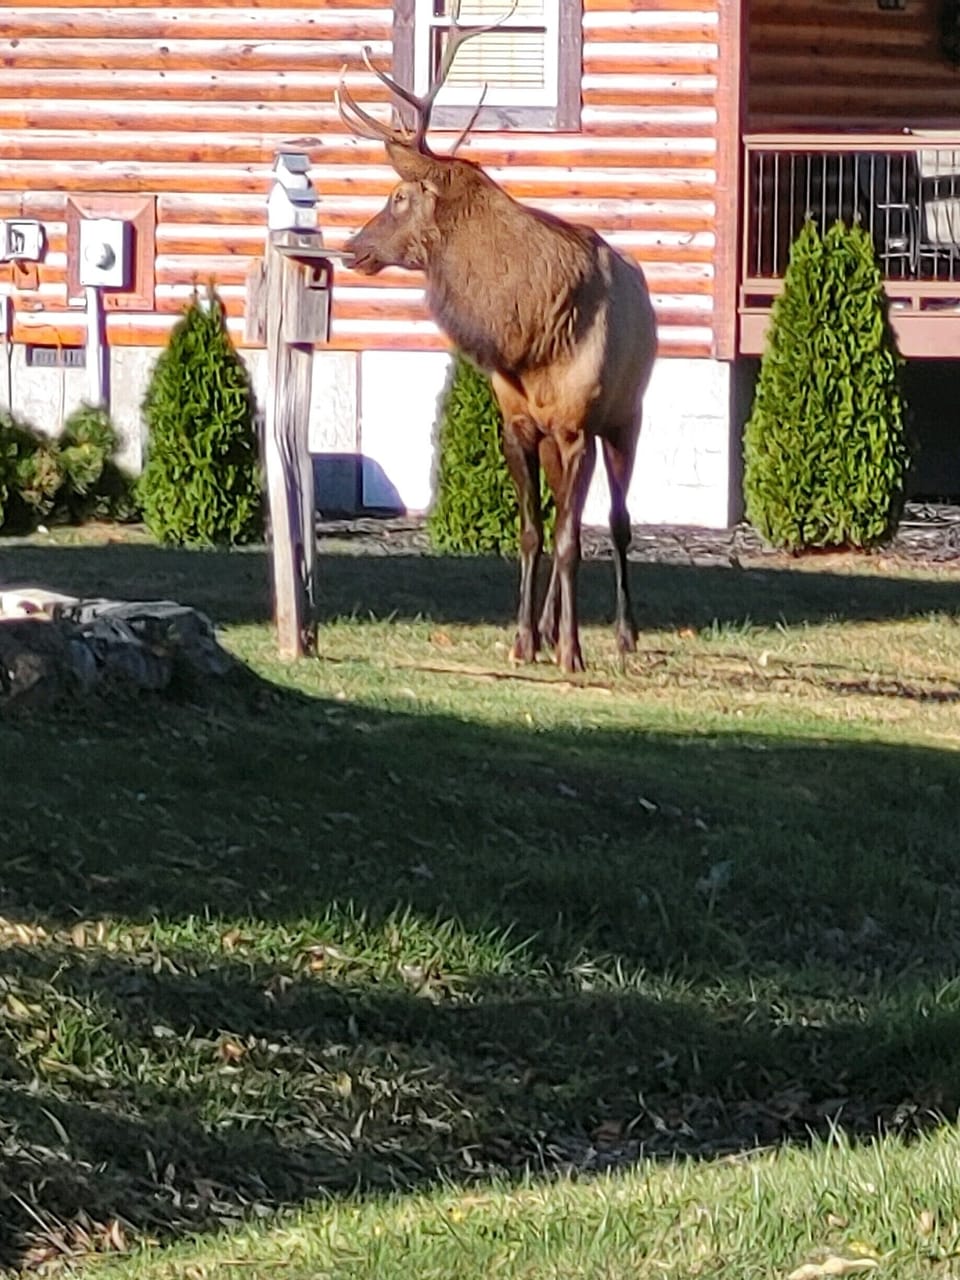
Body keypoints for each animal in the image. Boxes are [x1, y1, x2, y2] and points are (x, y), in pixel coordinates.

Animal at [336, 3, 658, 673]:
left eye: (398, 197)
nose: (352, 246)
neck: (530, 338)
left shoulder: (576, 425)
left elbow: (571, 539)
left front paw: (571, 651)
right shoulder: (519, 422)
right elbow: (534, 532)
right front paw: (524, 638)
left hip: (625, 417)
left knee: (616, 522)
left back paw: (622, 633)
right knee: (568, 516)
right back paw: (551, 625)